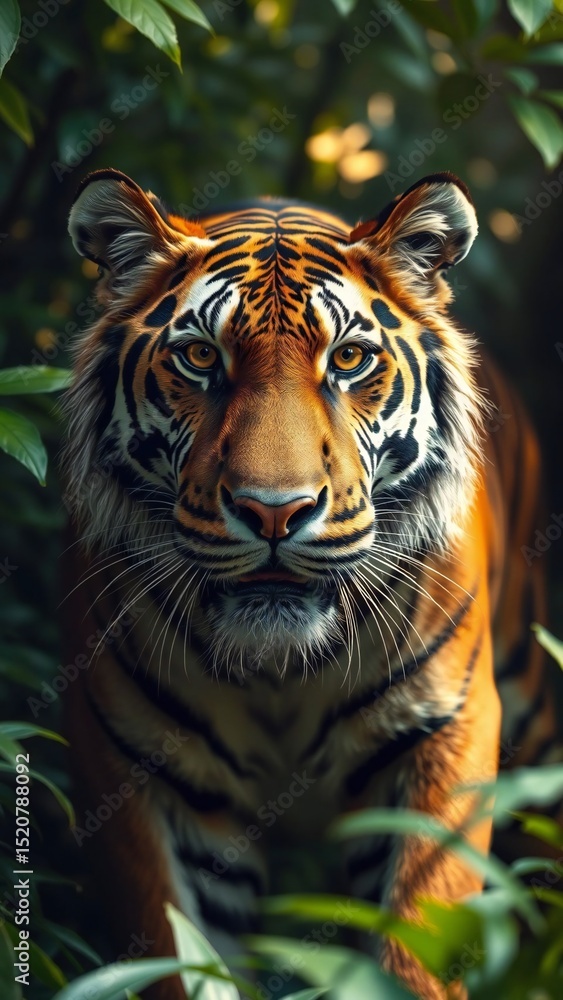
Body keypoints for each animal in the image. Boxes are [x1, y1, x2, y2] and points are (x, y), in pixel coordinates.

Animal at [61, 168, 559, 1000]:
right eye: (199, 358)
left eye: (350, 359)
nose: (274, 510)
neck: (279, 671)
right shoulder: (140, 767)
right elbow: (176, 952)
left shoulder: (442, 731)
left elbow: (417, 943)